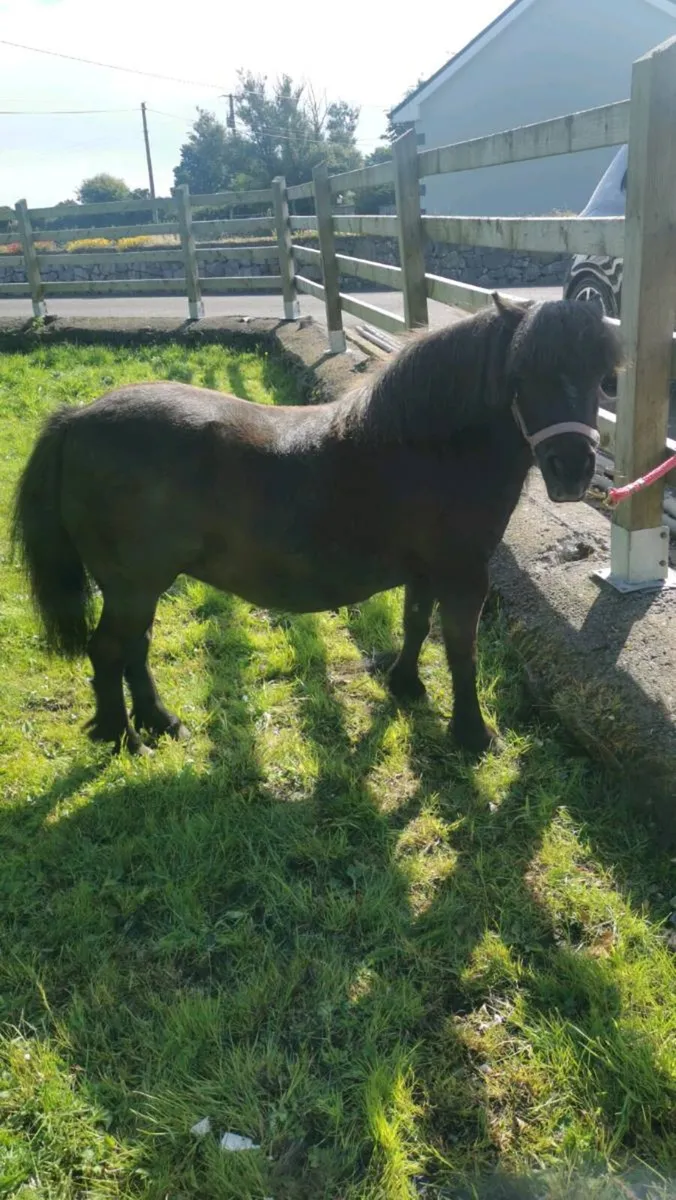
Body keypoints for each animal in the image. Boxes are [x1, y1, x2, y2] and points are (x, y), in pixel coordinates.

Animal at [11, 296, 620, 757]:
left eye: (602, 377)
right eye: (521, 375)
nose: (572, 469)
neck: (430, 448)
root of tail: (76, 418)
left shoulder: (425, 571)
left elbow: (415, 625)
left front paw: (405, 686)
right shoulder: (463, 575)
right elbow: (460, 650)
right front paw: (473, 734)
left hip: (137, 587)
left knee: (133, 649)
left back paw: (161, 722)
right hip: (133, 585)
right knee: (109, 651)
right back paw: (124, 738)